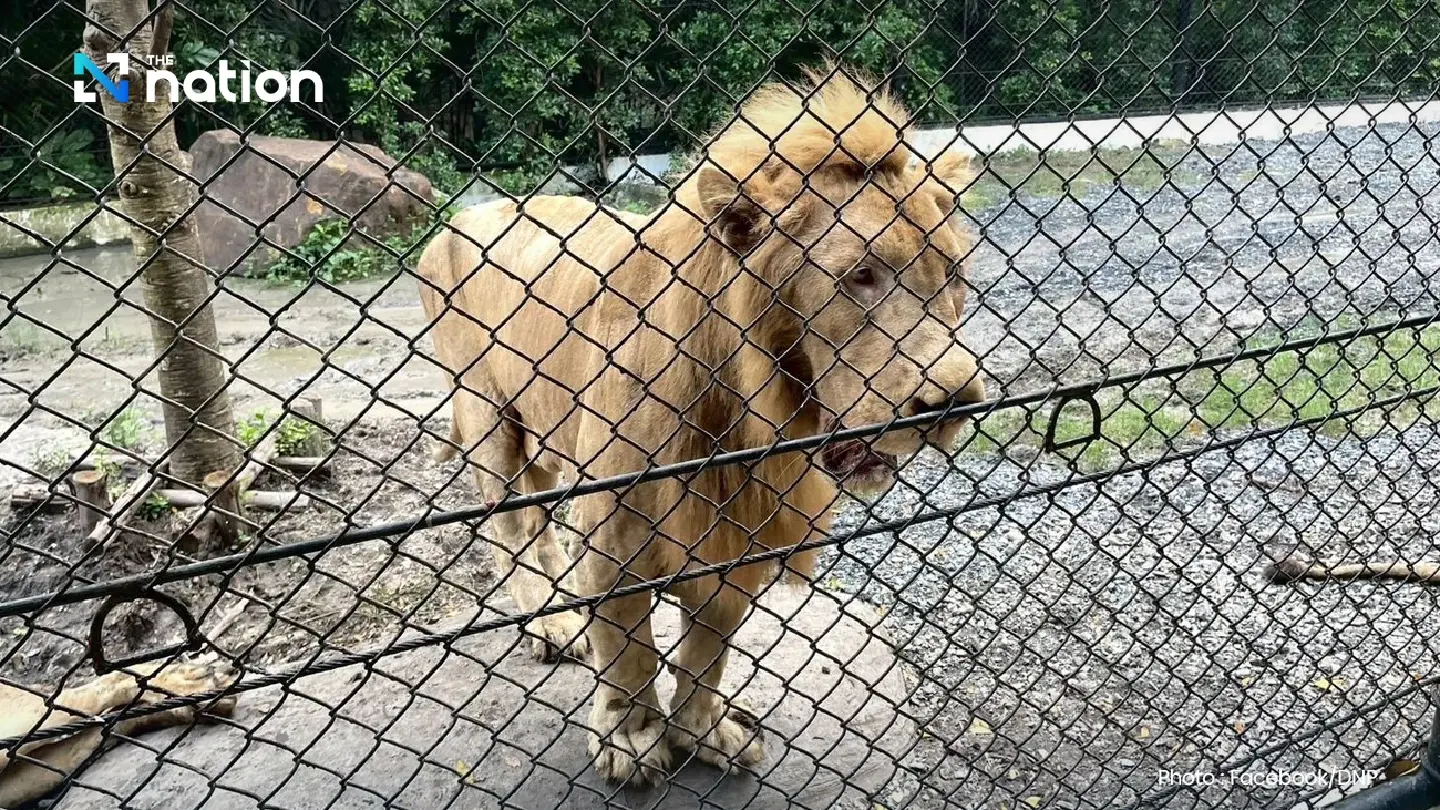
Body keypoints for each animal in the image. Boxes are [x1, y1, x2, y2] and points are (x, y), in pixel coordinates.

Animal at [416, 65, 986, 786]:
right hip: (485, 414)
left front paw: (704, 731)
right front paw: (630, 740)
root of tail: (459, 217)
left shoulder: (736, 528)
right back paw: (553, 628)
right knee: (509, 527)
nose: (958, 399)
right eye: (860, 275)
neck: (744, 417)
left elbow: (707, 647)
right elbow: (627, 645)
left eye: (954, 275)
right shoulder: (616, 530)